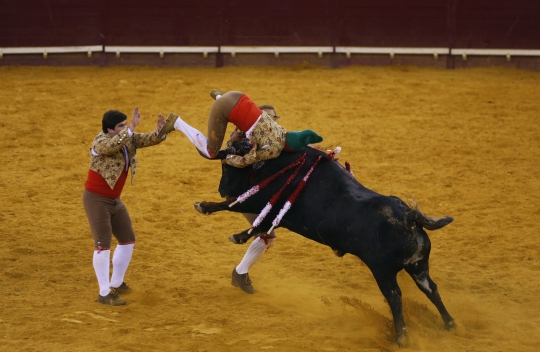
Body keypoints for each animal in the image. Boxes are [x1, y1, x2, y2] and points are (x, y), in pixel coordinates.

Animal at [195, 146, 456, 346]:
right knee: (430, 288)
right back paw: (450, 323)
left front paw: (204, 206)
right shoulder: (272, 211)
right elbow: (260, 227)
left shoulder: (261, 199)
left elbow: (234, 207)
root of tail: (410, 215)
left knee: (394, 297)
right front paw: (238, 236)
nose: (222, 189)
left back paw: (401, 336)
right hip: (418, 266)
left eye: (226, 166)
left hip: (382, 271)